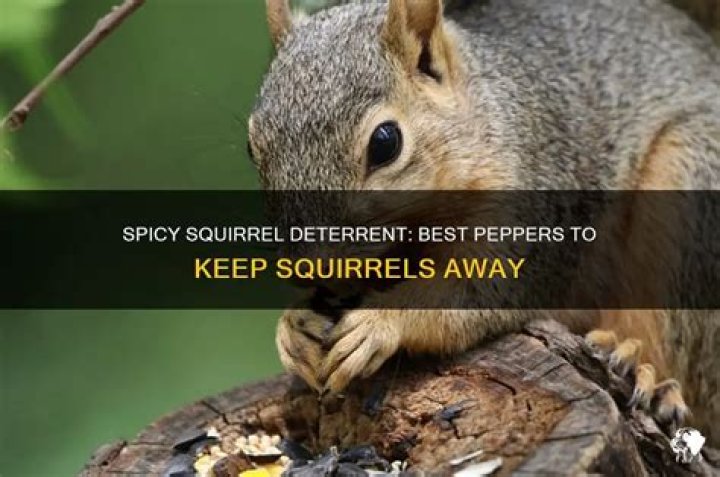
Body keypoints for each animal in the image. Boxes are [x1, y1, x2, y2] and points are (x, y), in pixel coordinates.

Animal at [247, 0, 720, 445]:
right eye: (253, 148)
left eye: (385, 143)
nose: (310, 268)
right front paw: (295, 327)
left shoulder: (533, 214)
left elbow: (478, 291)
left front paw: (380, 322)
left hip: (688, 192)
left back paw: (646, 373)